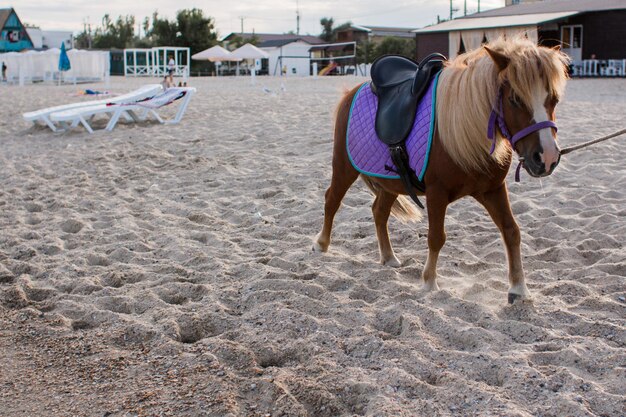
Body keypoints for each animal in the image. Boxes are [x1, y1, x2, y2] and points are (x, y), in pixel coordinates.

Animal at [310, 38, 568, 302]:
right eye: (515, 99)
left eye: (554, 99)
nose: (547, 157)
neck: (464, 127)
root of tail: (352, 92)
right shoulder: (437, 193)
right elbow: (436, 238)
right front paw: (429, 283)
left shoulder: (493, 190)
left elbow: (511, 231)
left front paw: (518, 288)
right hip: (344, 167)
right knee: (332, 200)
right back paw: (321, 243)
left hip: (392, 182)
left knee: (379, 212)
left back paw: (389, 257)